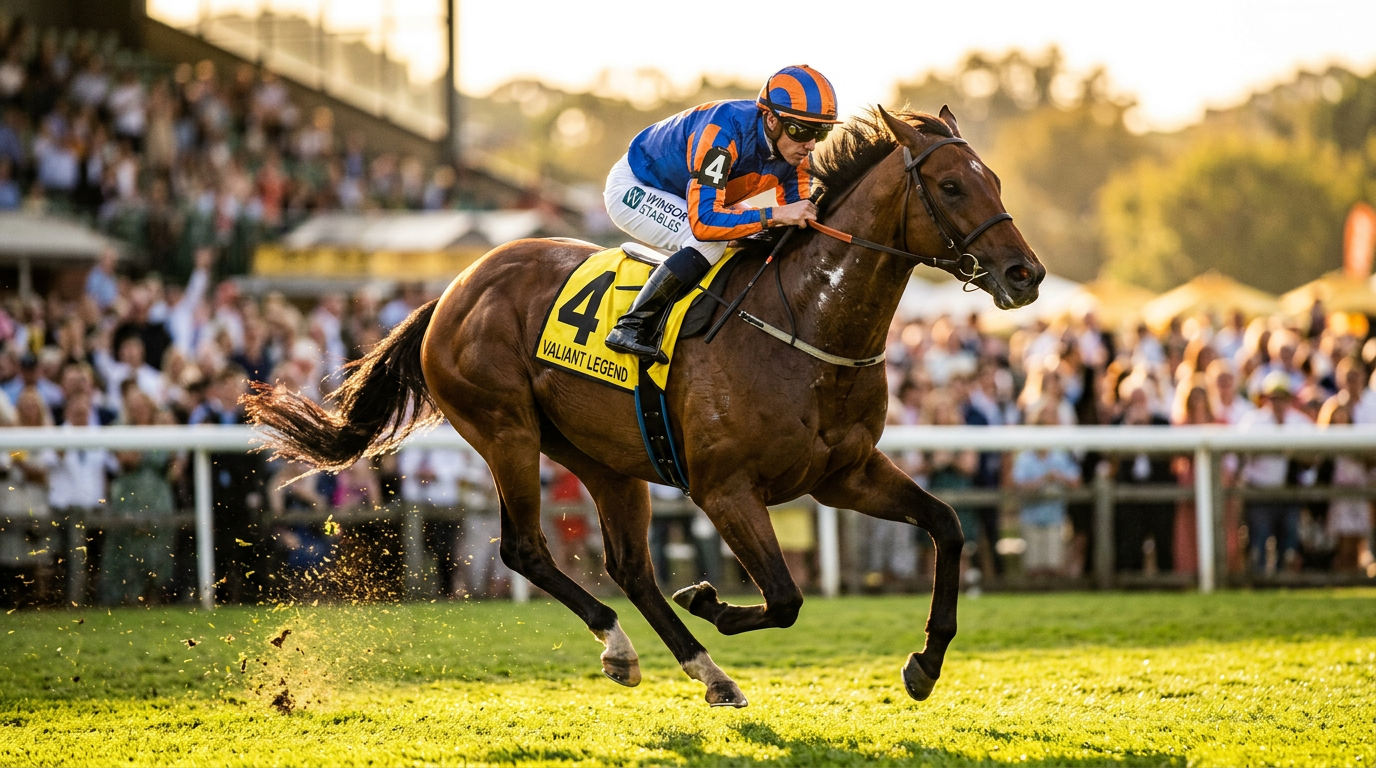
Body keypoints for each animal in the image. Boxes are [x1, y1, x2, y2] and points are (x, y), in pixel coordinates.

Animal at [245, 106, 1045, 708]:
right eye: (950, 185)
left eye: (997, 180)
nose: (1025, 274)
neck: (807, 325)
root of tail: (452, 289)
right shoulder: (725, 488)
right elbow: (786, 597)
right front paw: (712, 600)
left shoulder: (842, 475)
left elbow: (947, 526)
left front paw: (926, 663)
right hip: (506, 430)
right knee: (525, 548)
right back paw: (623, 646)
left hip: (607, 458)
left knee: (630, 566)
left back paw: (706, 672)